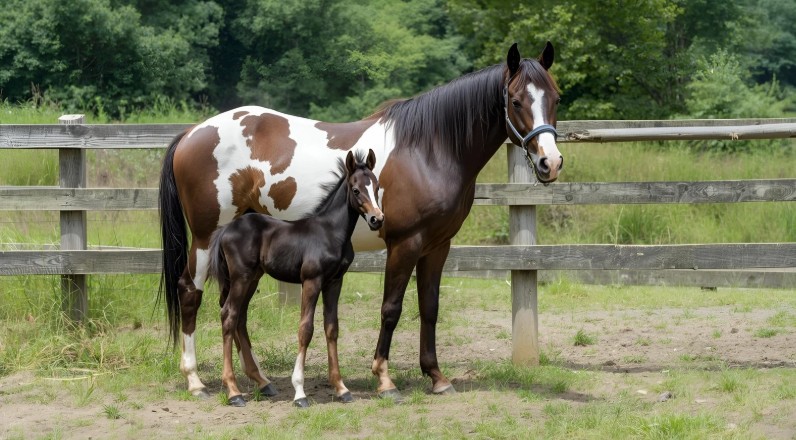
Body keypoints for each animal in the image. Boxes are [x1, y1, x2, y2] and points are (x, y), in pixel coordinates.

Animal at [206, 150, 383, 407]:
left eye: (376, 187)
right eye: (356, 189)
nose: (376, 219)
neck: (330, 232)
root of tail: (226, 229)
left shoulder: (334, 282)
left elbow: (332, 328)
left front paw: (341, 388)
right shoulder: (311, 281)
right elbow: (305, 329)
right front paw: (300, 392)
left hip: (252, 278)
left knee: (240, 317)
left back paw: (263, 383)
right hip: (241, 277)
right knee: (228, 315)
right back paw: (233, 391)